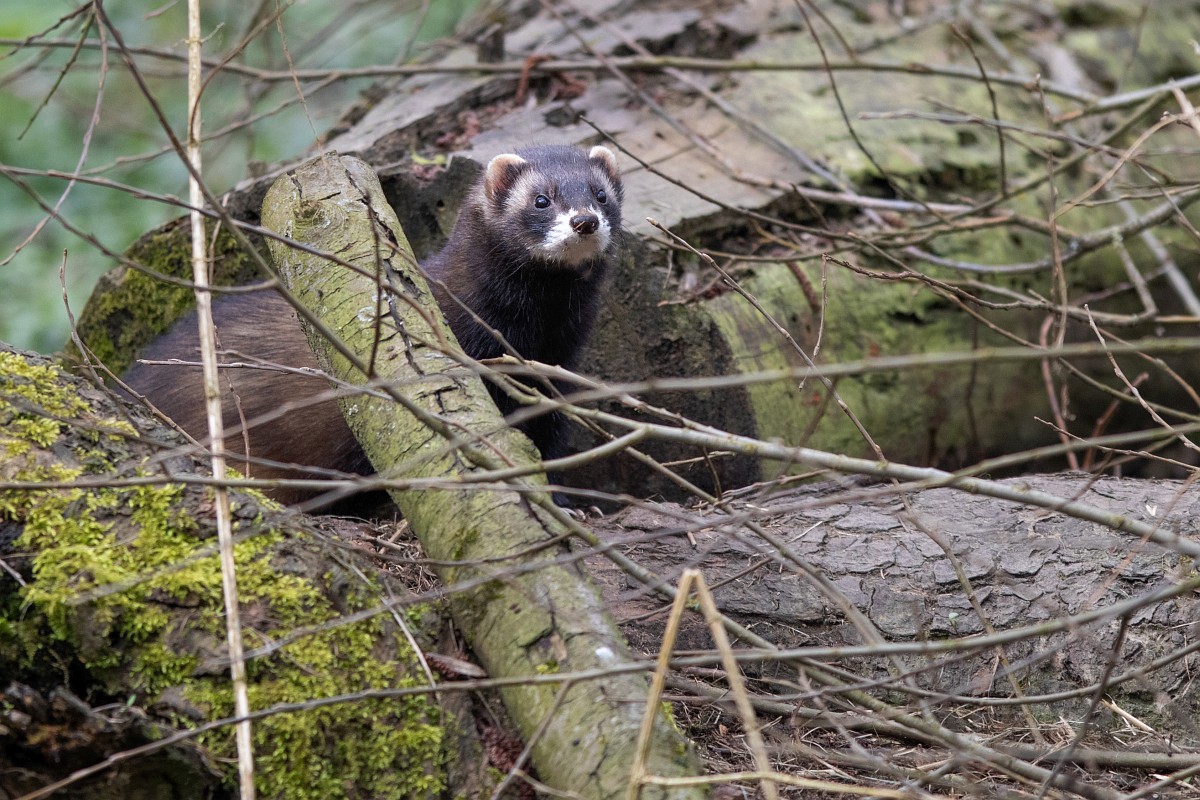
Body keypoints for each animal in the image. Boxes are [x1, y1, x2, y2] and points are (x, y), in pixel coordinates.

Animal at [122, 144, 623, 506]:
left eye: (601, 194)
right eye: (541, 199)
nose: (584, 220)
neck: (533, 334)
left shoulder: (556, 372)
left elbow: (548, 441)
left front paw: (570, 502)